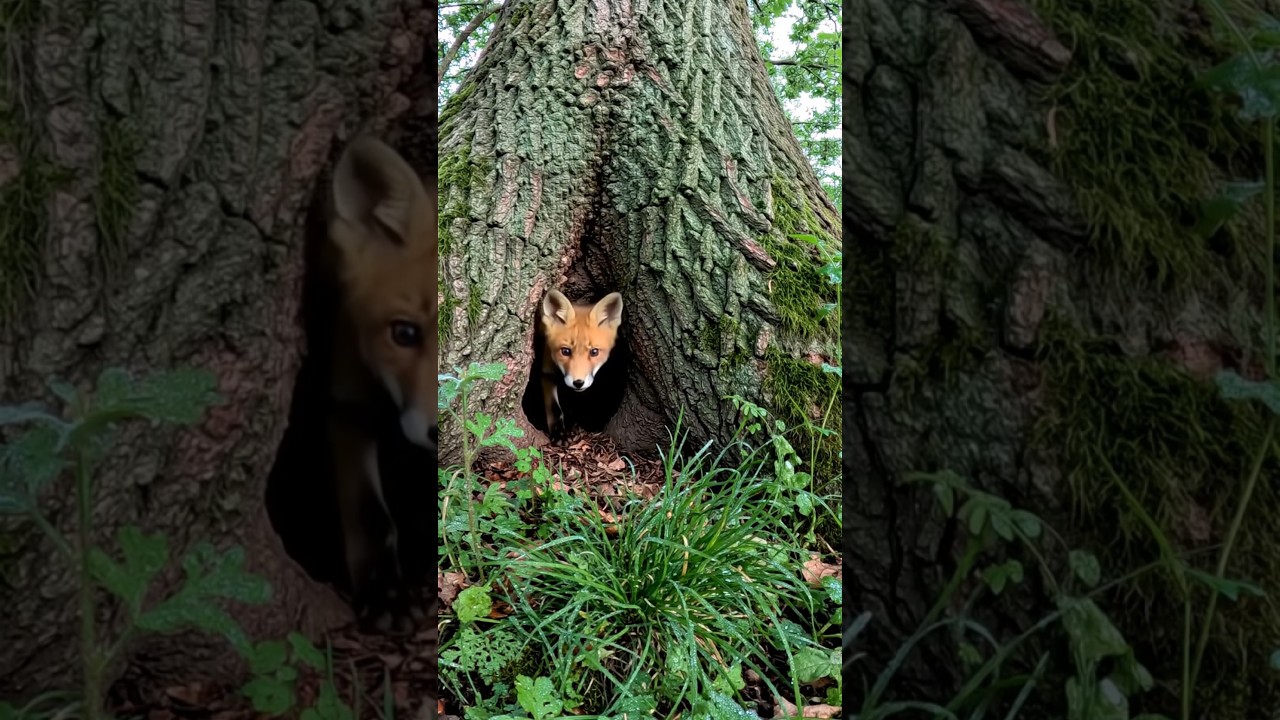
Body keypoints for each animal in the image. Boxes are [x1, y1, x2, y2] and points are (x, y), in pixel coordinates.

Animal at [539, 289, 624, 439]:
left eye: (594, 352)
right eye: (565, 351)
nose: (578, 383)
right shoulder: (547, 373)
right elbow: (554, 408)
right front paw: (559, 434)